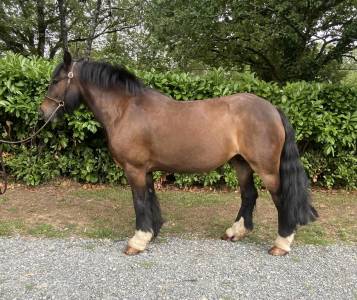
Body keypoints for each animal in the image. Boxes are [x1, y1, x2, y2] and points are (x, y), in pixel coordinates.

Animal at [39, 51, 318, 255]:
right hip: (241, 163)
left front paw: (137, 241)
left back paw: (281, 244)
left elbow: (139, 201)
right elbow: (151, 199)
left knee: (280, 198)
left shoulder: (134, 169)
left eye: (55, 81)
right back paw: (235, 232)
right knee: (249, 195)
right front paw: (152, 233)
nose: (43, 112)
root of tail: (273, 109)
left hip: (267, 168)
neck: (126, 109)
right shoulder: (146, 170)